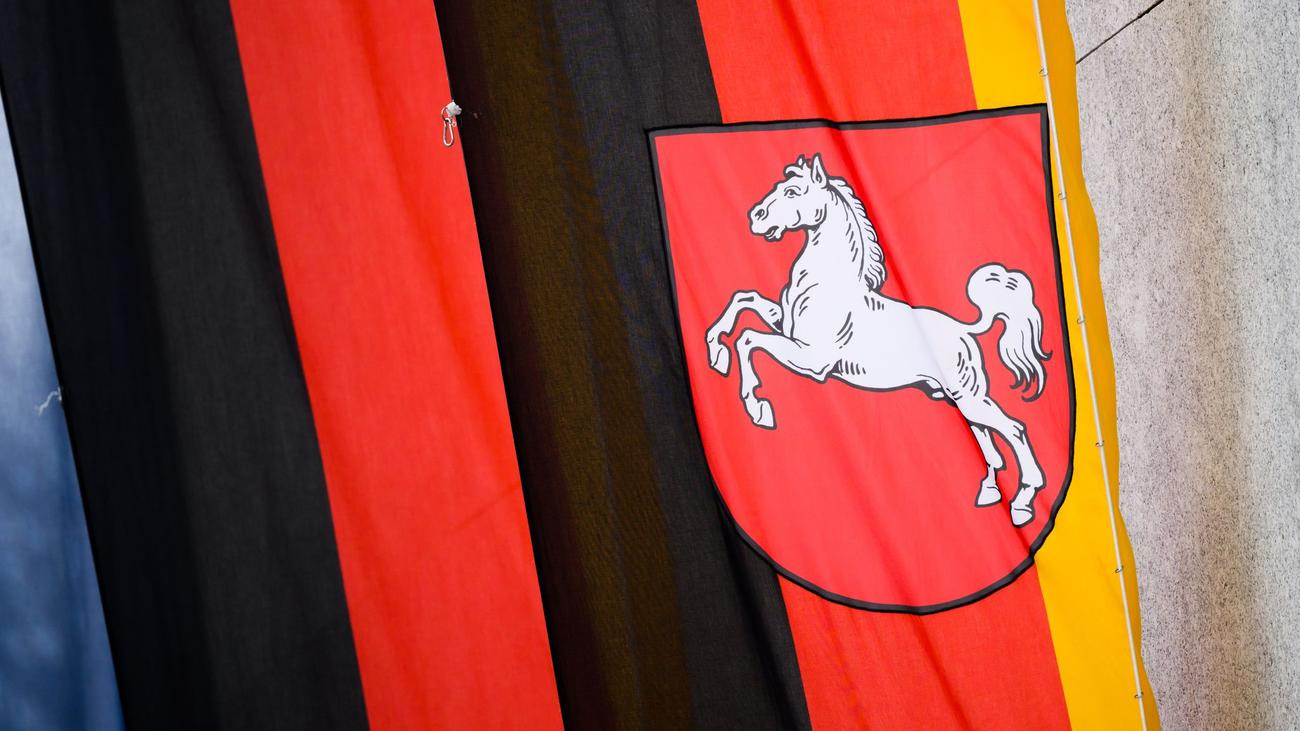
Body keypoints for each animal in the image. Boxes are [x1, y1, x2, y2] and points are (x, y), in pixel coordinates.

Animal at [704, 153, 1052, 527]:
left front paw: (758, 408)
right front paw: (716, 353)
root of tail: (964, 329)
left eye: (794, 191)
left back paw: (1022, 504)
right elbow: (745, 300)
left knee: (1013, 429)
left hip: (968, 396)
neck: (827, 284)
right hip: (958, 398)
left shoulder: (811, 359)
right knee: (988, 440)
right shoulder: (786, 328)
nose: (755, 216)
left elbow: (748, 340)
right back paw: (989, 492)